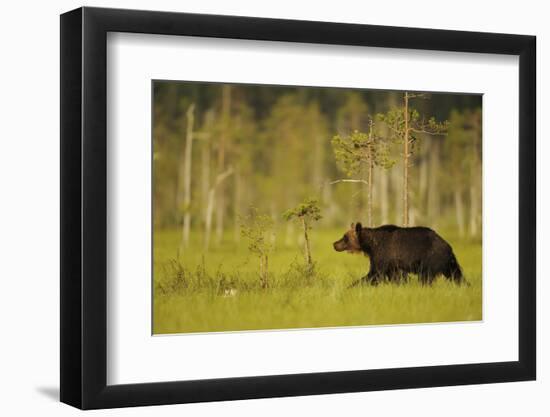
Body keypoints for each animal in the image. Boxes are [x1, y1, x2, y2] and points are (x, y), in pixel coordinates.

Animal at [334, 221, 464, 286]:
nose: (334, 244)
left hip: (431, 257)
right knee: (455, 274)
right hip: (447, 262)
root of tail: (448, 246)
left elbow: (375, 273)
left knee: (426, 277)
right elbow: (395, 276)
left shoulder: (383, 253)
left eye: (344, 237)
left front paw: (351, 286)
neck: (370, 245)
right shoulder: (391, 263)